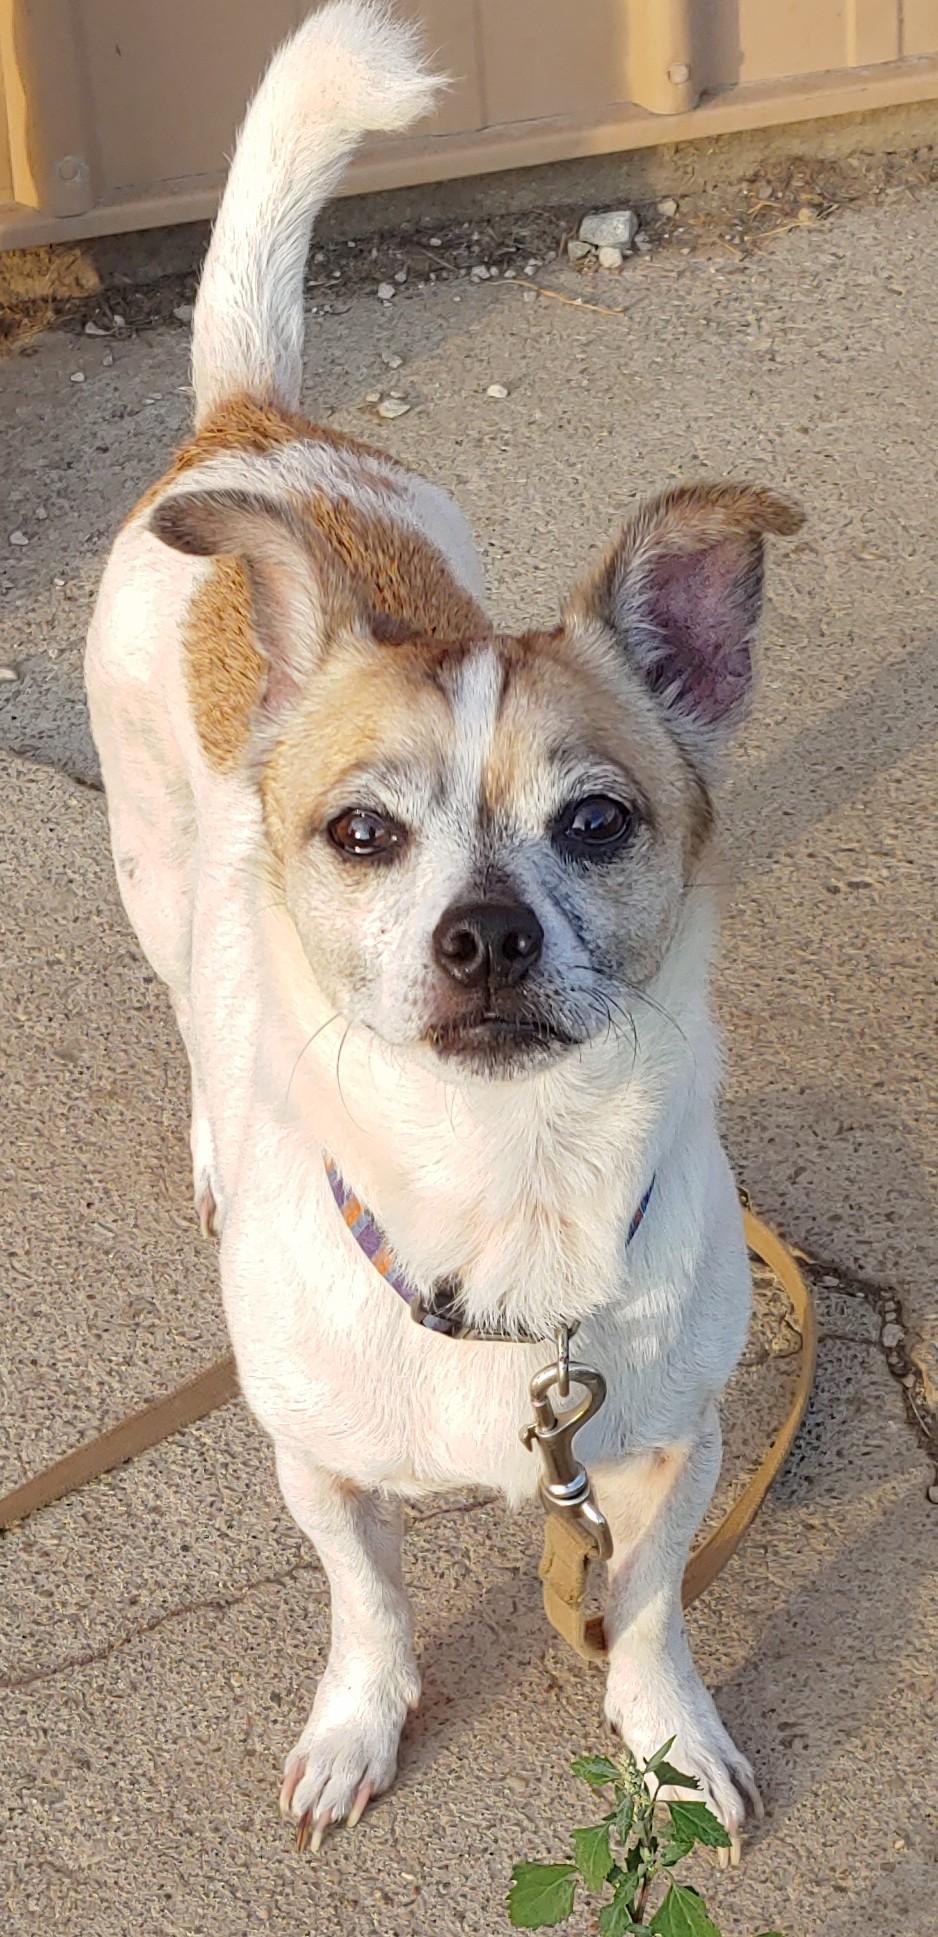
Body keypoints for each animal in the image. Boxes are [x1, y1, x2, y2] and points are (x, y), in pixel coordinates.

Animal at [86, 3, 798, 1875]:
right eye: (362, 834)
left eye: (598, 823)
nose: (481, 935)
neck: (508, 1185)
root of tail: (250, 427)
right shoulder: (319, 1471)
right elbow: (369, 1604)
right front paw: (359, 1723)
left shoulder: (669, 1448)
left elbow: (645, 1603)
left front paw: (665, 1737)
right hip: (151, 867)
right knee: (194, 1007)